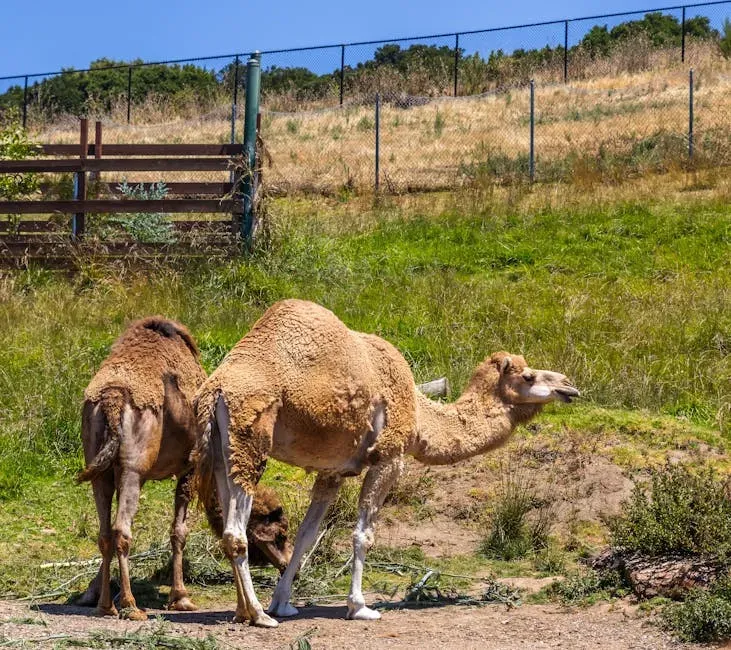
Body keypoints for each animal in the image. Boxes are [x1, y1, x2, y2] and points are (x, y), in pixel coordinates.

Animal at [77, 316, 292, 620]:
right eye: (279, 534)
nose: (288, 565)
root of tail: (112, 398)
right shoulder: (190, 467)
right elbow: (179, 532)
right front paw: (181, 597)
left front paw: (91, 593)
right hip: (132, 468)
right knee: (121, 531)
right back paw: (131, 605)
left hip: (99, 465)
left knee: (105, 531)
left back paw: (106, 605)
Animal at [194, 299, 579, 627]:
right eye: (528, 377)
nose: (569, 385)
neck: (420, 415)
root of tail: (215, 390)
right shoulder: (389, 458)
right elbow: (363, 534)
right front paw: (359, 606)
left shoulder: (332, 471)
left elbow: (306, 534)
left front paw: (284, 602)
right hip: (250, 442)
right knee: (235, 532)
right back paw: (259, 615)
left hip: (223, 454)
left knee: (228, 525)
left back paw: (245, 610)